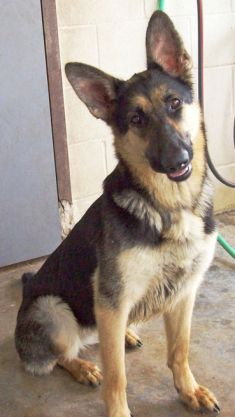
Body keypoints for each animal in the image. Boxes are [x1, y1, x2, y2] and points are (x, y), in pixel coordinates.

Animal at [15, 9, 220, 416]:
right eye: (136, 120)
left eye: (174, 103)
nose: (177, 161)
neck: (170, 206)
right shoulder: (111, 301)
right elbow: (117, 376)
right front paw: (118, 409)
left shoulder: (184, 293)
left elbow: (180, 350)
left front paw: (189, 390)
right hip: (54, 309)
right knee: (64, 353)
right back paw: (82, 366)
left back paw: (124, 334)